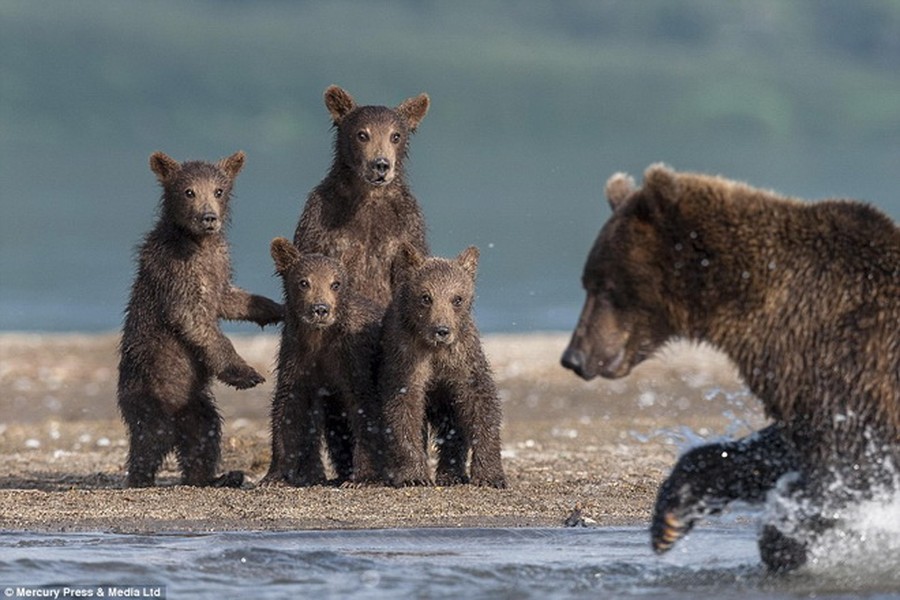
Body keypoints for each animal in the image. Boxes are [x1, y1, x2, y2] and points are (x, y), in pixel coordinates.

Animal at [564, 164, 900, 572]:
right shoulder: (804, 381)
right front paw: (672, 517)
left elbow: (851, 464)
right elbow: (775, 447)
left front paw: (784, 541)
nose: (574, 357)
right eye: (588, 281)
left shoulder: (849, 360)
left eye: (605, 286)